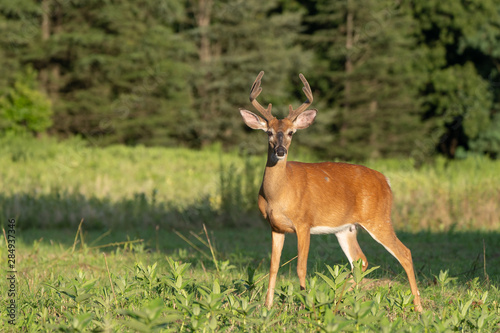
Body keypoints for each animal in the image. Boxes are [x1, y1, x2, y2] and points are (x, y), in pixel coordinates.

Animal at [238, 70, 422, 312]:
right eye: (268, 132)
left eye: (291, 132)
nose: (280, 151)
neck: (278, 195)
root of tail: (386, 180)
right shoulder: (275, 227)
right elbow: (273, 267)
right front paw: (267, 308)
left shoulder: (304, 222)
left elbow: (301, 267)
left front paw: (307, 304)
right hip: (346, 228)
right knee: (360, 260)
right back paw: (338, 301)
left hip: (378, 218)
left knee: (405, 253)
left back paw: (418, 307)